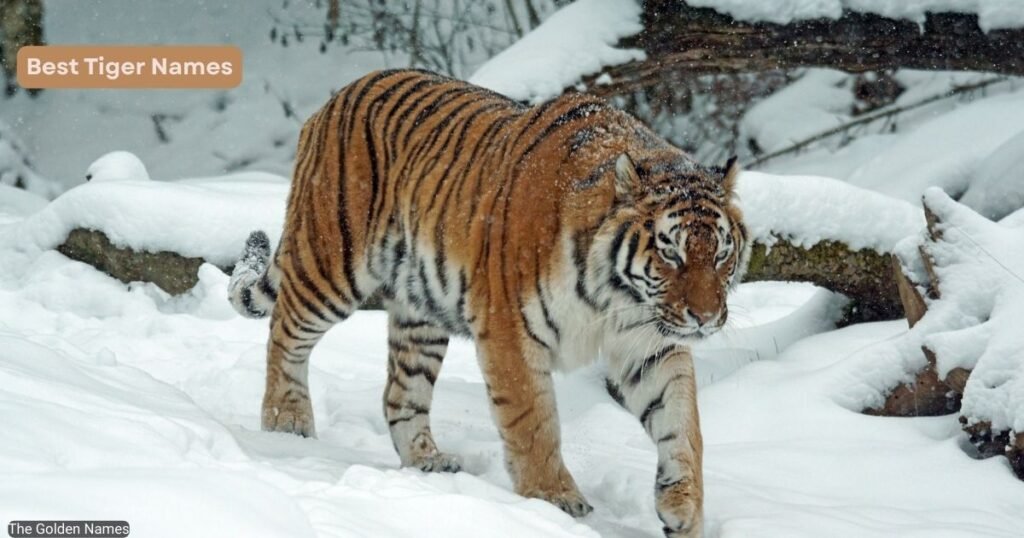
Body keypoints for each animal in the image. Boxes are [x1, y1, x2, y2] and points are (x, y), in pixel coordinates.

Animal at [228, 69, 749, 537]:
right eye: (670, 253)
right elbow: (533, 423)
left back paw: (428, 462)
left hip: (420, 312)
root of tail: (335, 98)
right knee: (284, 332)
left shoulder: (649, 343)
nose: (705, 319)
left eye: (721, 254)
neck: (616, 296)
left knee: (400, 392)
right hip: (331, 262)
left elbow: (682, 423)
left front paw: (683, 508)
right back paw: (286, 424)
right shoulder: (510, 332)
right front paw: (553, 501)